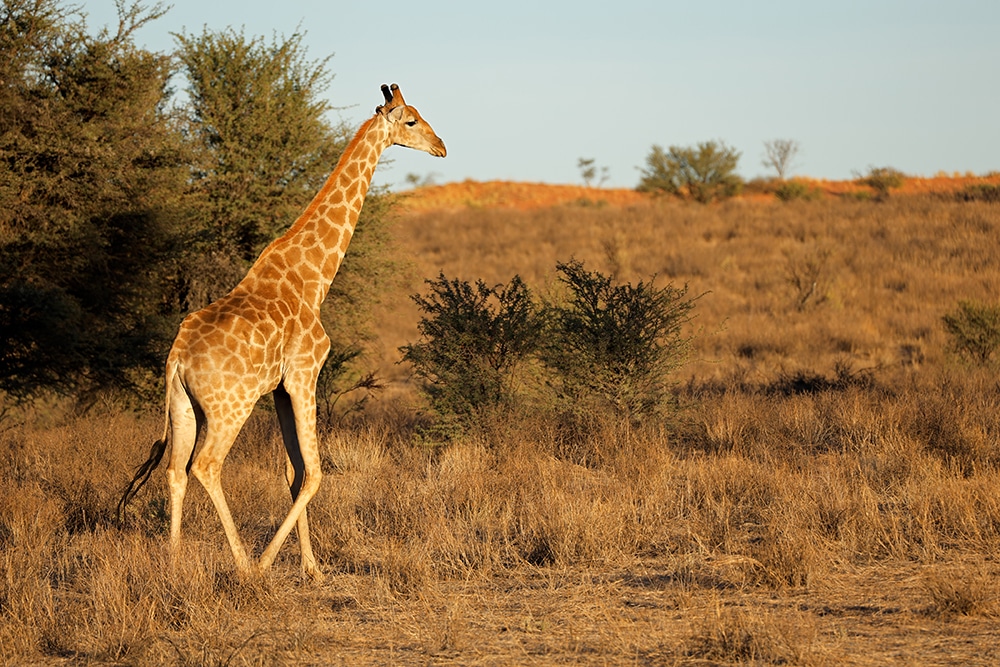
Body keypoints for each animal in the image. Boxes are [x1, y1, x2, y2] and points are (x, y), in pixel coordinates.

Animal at [119, 84, 446, 579]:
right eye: (410, 121)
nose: (442, 146)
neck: (313, 278)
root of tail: (177, 358)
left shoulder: (278, 389)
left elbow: (293, 473)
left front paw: (311, 567)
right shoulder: (305, 374)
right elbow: (314, 473)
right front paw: (273, 562)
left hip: (182, 406)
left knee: (174, 470)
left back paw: (173, 563)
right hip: (229, 408)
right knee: (205, 466)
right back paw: (244, 565)